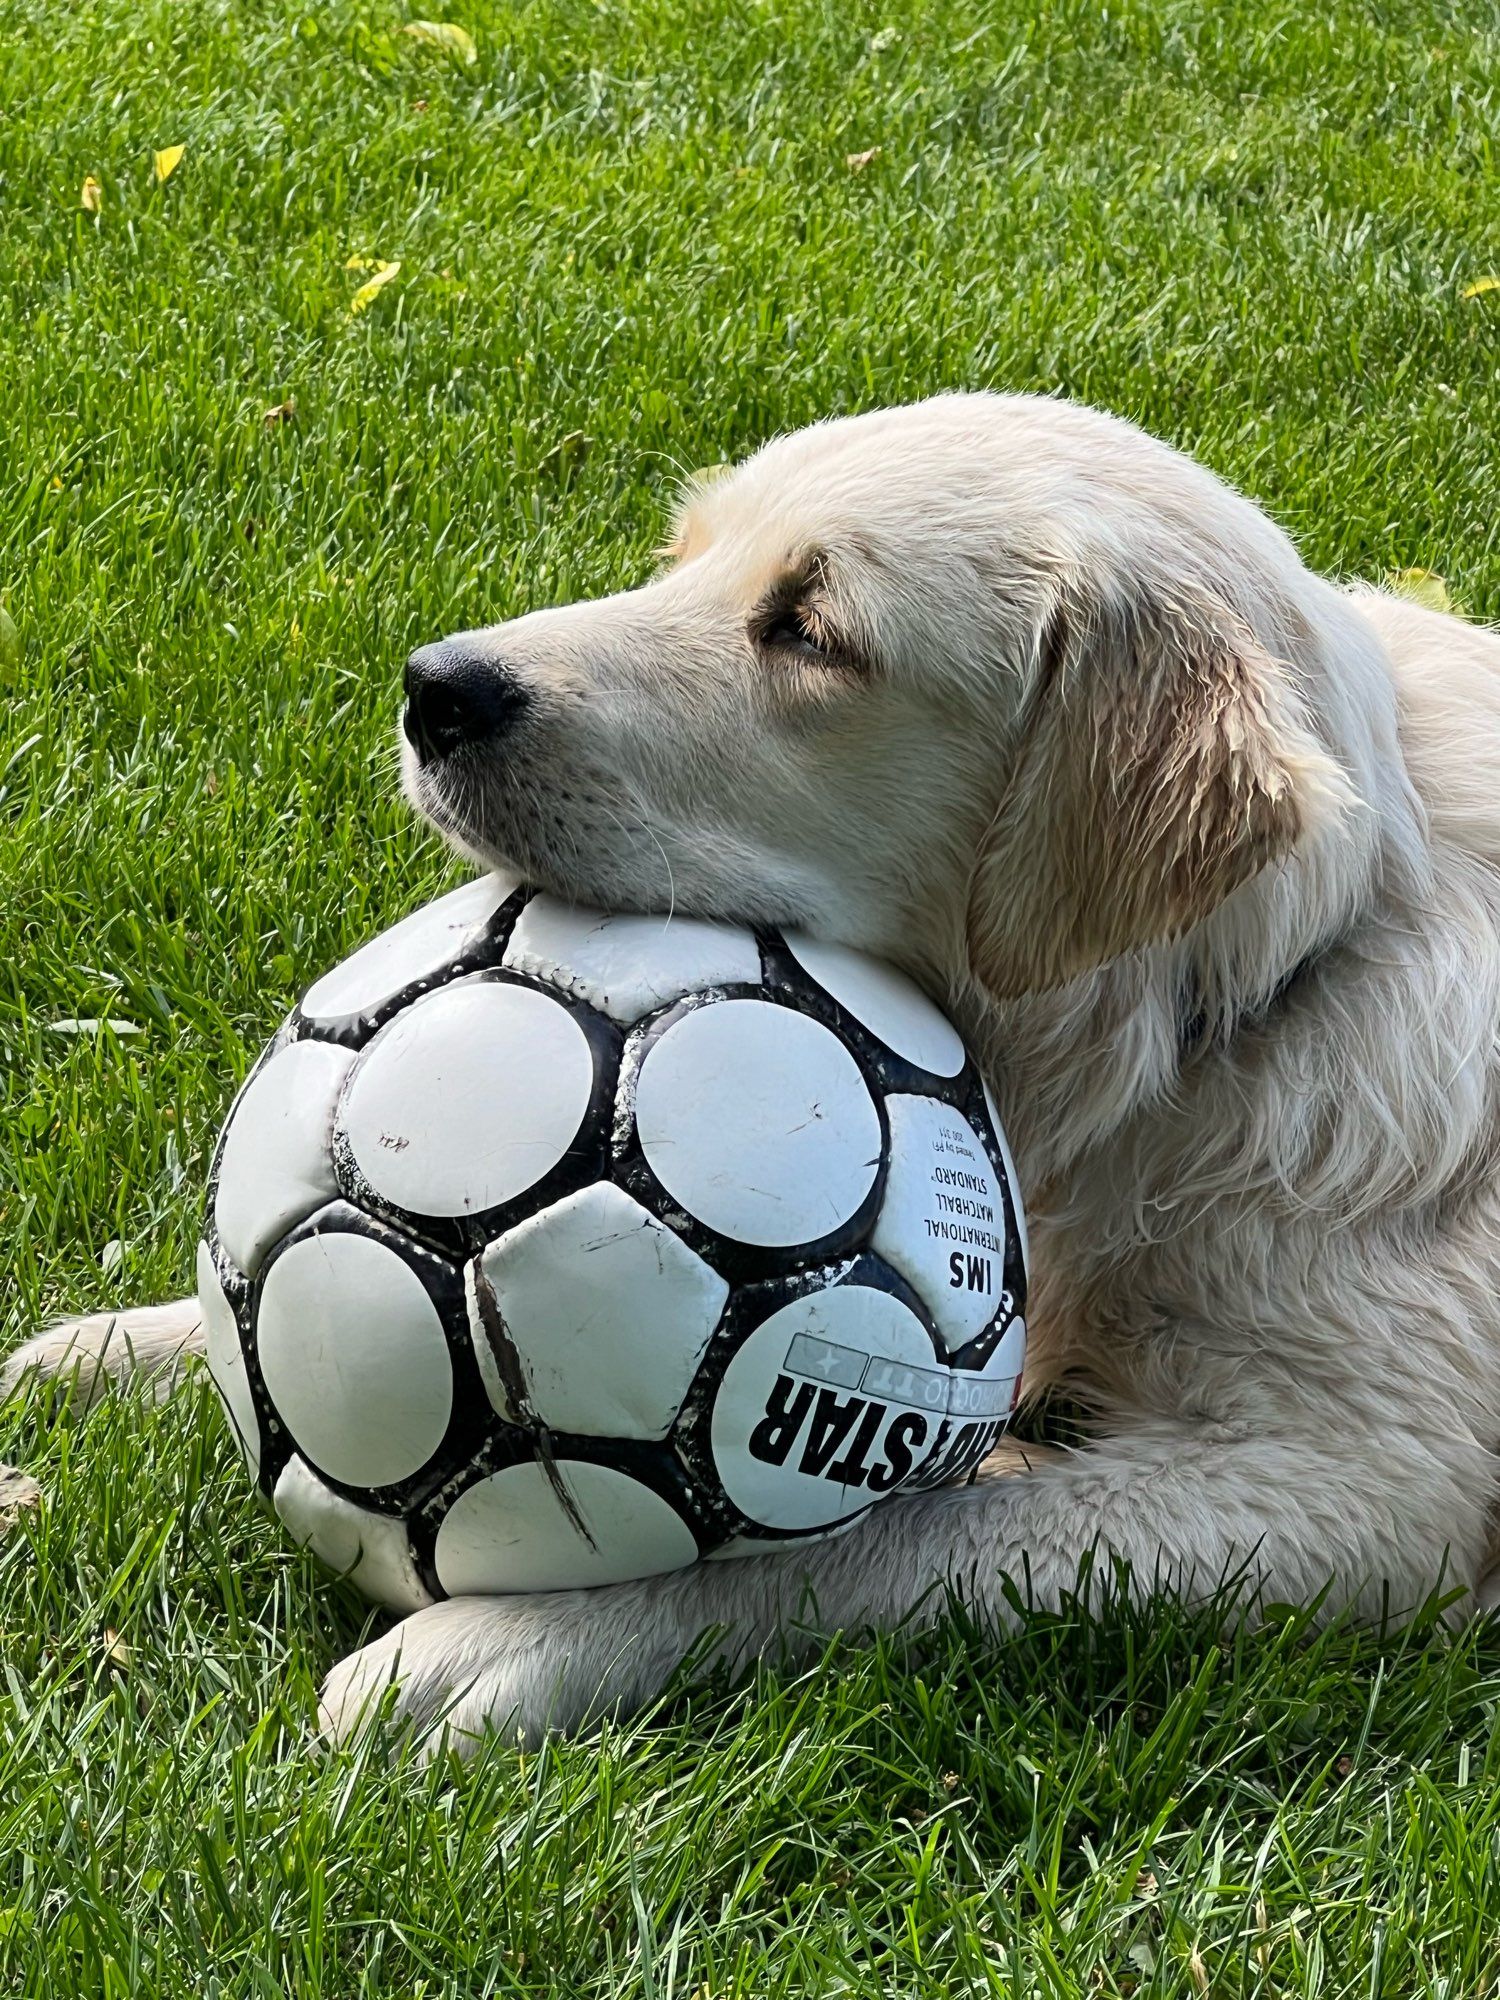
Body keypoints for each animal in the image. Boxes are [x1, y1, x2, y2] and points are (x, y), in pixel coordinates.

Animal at [11, 394, 1500, 1752]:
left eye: (809, 630)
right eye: (685, 557)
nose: (432, 687)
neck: (1246, 1002)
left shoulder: (1361, 1489)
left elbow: (886, 1536)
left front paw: (525, 1633)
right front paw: (118, 1348)